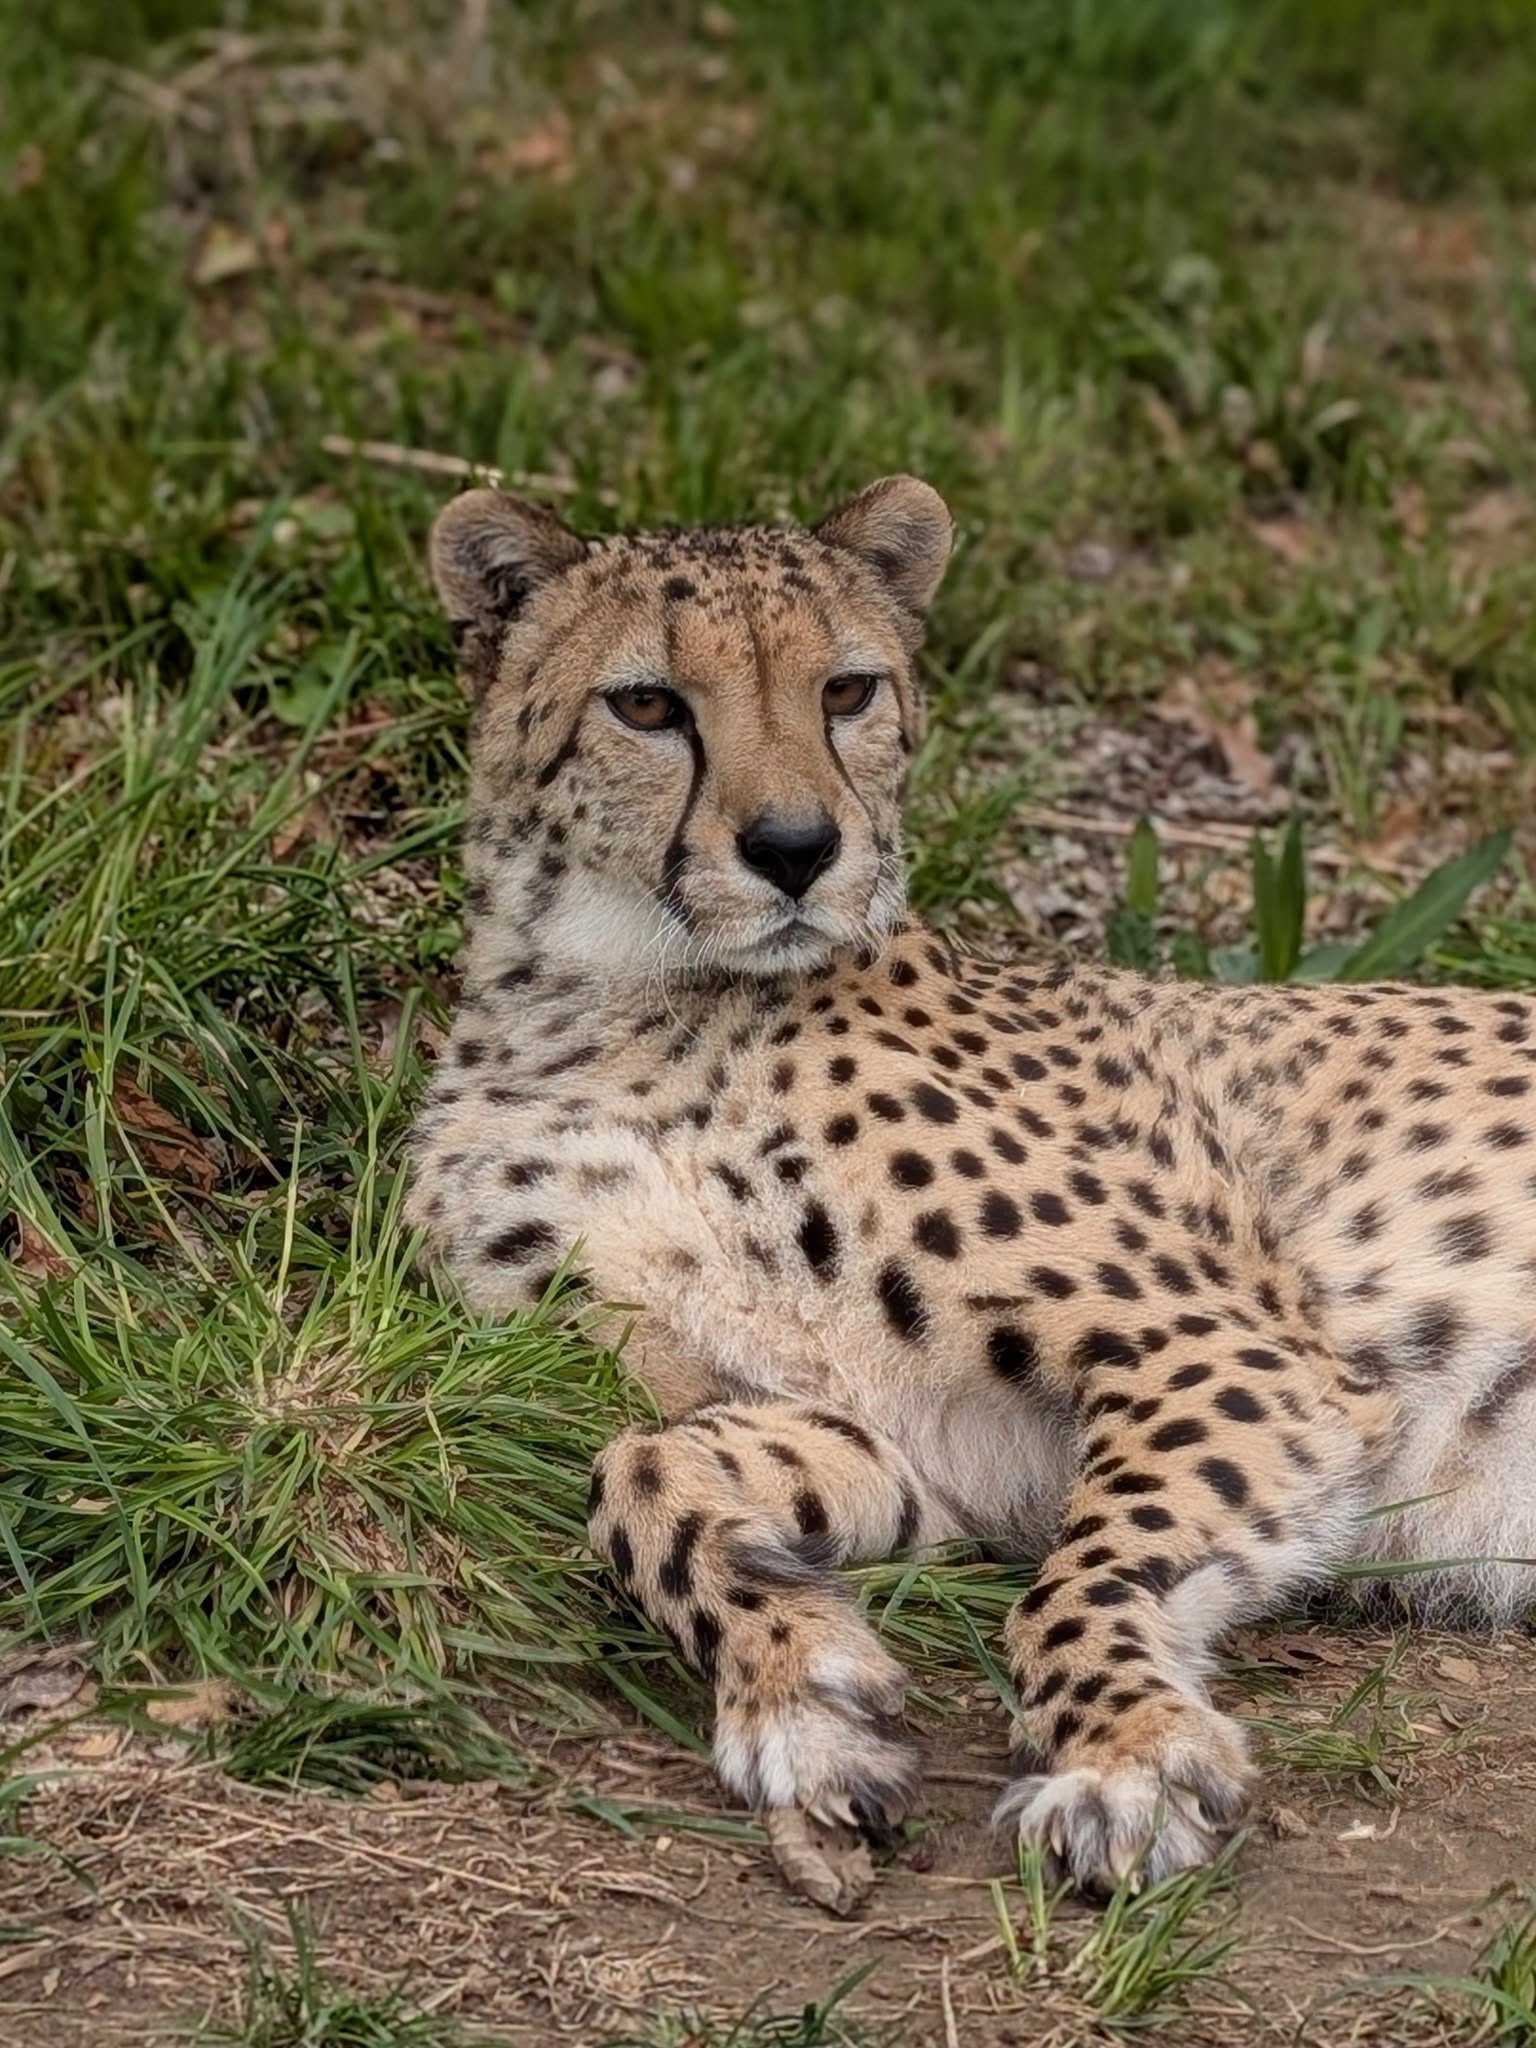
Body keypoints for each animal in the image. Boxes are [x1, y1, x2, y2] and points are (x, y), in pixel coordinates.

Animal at [407, 472, 1536, 1911]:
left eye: (846, 690)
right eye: (648, 705)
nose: (795, 848)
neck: (616, 1000)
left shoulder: (1231, 1352)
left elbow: (1083, 1569)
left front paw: (1127, 1750)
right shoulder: (907, 1448)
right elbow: (641, 1473)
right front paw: (800, 1690)